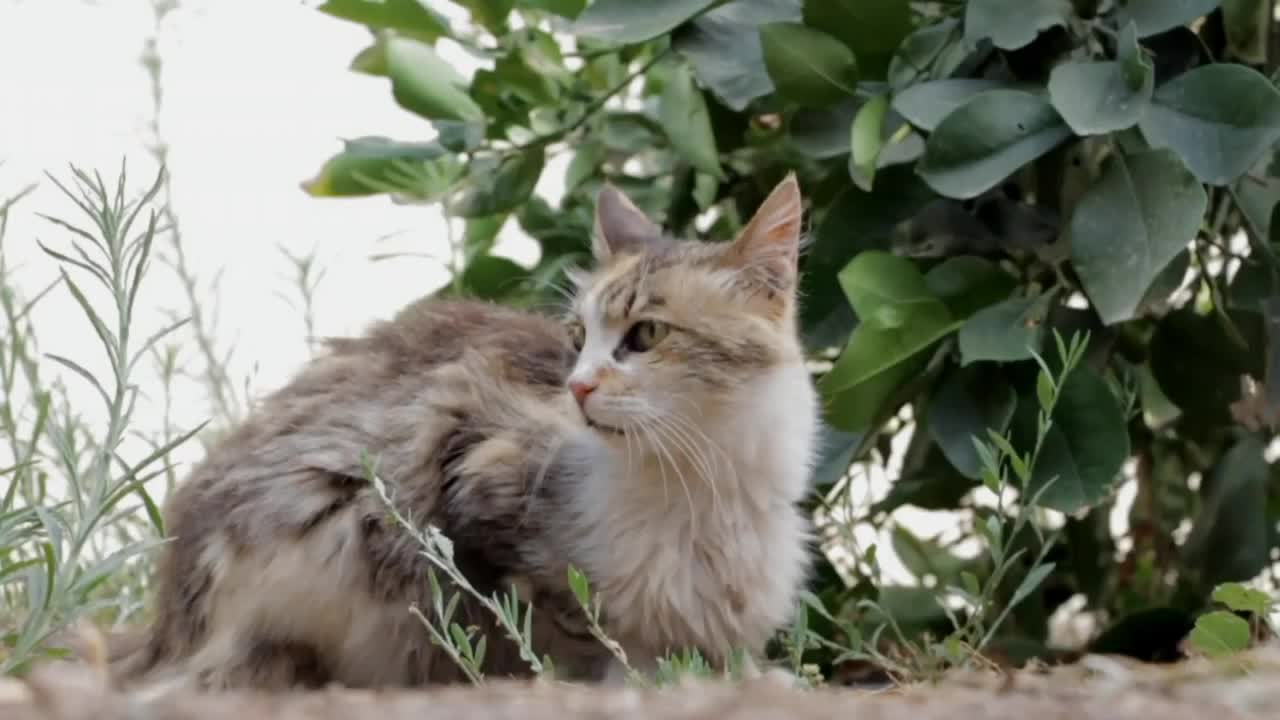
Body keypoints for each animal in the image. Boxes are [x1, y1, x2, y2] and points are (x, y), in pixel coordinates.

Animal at [104, 172, 814, 691]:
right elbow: (575, 631)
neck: (702, 487)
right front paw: (624, 681)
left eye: (646, 335)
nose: (578, 387)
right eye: (577, 338)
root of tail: (165, 624)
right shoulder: (470, 465)